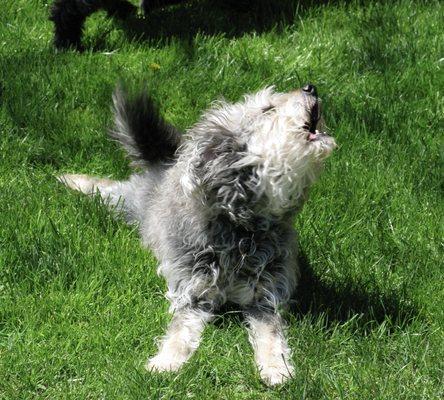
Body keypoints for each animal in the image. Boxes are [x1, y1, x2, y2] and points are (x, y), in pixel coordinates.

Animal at [59, 83, 336, 384]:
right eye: (267, 109)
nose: (310, 87)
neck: (240, 231)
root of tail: (163, 165)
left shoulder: (264, 296)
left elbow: (271, 334)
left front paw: (276, 367)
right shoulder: (193, 293)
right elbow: (180, 331)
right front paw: (166, 361)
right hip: (127, 202)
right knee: (105, 188)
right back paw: (71, 180)